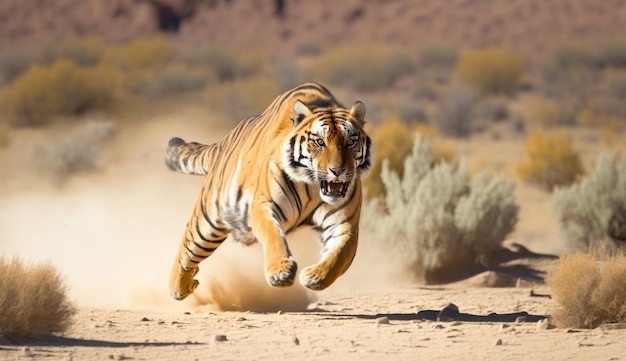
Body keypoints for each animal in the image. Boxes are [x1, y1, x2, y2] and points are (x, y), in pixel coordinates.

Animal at [165, 81, 370, 298]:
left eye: (350, 142)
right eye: (319, 142)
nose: (337, 170)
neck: (312, 186)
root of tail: (223, 143)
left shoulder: (345, 224)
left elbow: (339, 255)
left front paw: (315, 276)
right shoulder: (264, 206)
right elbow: (273, 235)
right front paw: (280, 271)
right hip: (208, 219)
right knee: (187, 248)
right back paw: (178, 288)